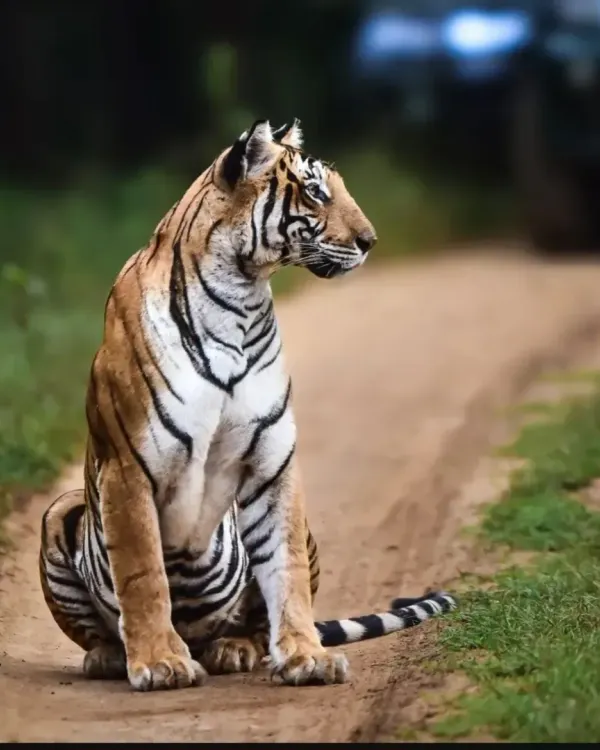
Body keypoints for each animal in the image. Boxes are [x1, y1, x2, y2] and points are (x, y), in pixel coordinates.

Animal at [39, 119, 457, 692]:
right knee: (99, 630)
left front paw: (307, 657)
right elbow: (143, 573)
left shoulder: (272, 461)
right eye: (315, 192)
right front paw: (159, 662)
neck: (236, 297)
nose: (370, 241)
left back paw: (234, 649)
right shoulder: (128, 467)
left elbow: (287, 571)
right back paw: (112, 656)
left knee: (252, 622)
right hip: (60, 509)